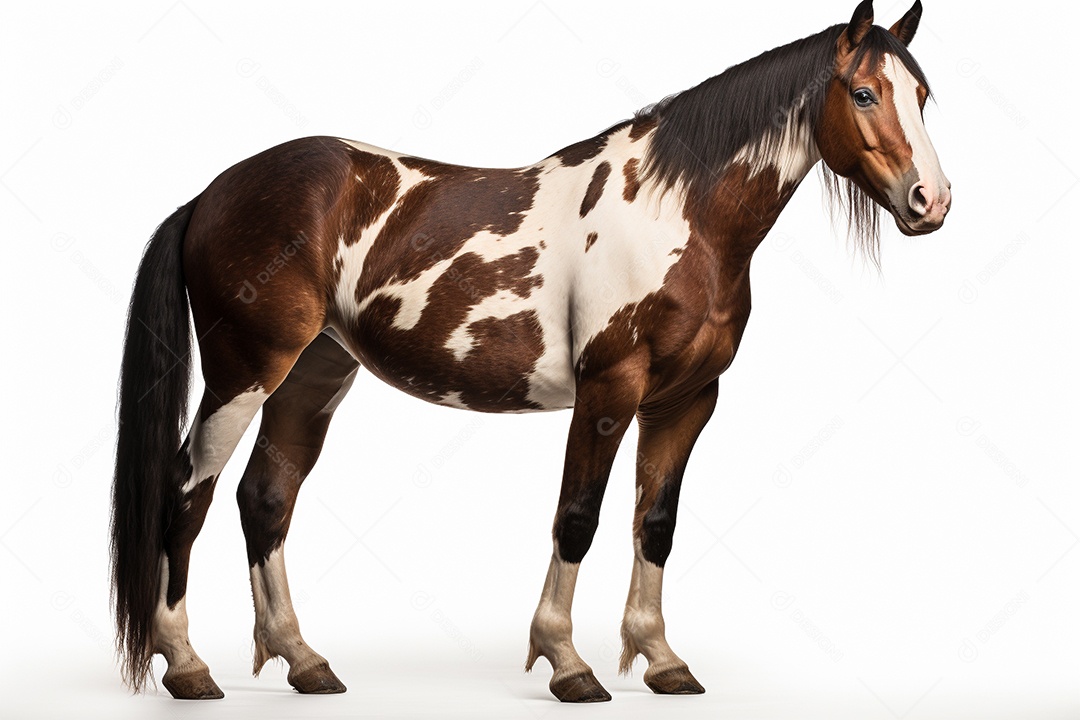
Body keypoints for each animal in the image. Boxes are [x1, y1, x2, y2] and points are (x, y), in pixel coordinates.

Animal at [111, 0, 950, 703]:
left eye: (923, 95)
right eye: (864, 94)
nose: (930, 201)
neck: (674, 211)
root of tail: (210, 196)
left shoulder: (687, 400)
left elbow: (656, 524)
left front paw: (662, 660)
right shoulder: (610, 388)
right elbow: (578, 517)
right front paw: (568, 663)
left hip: (312, 375)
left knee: (266, 498)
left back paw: (304, 661)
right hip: (245, 374)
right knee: (188, 493)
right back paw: (186, 667)